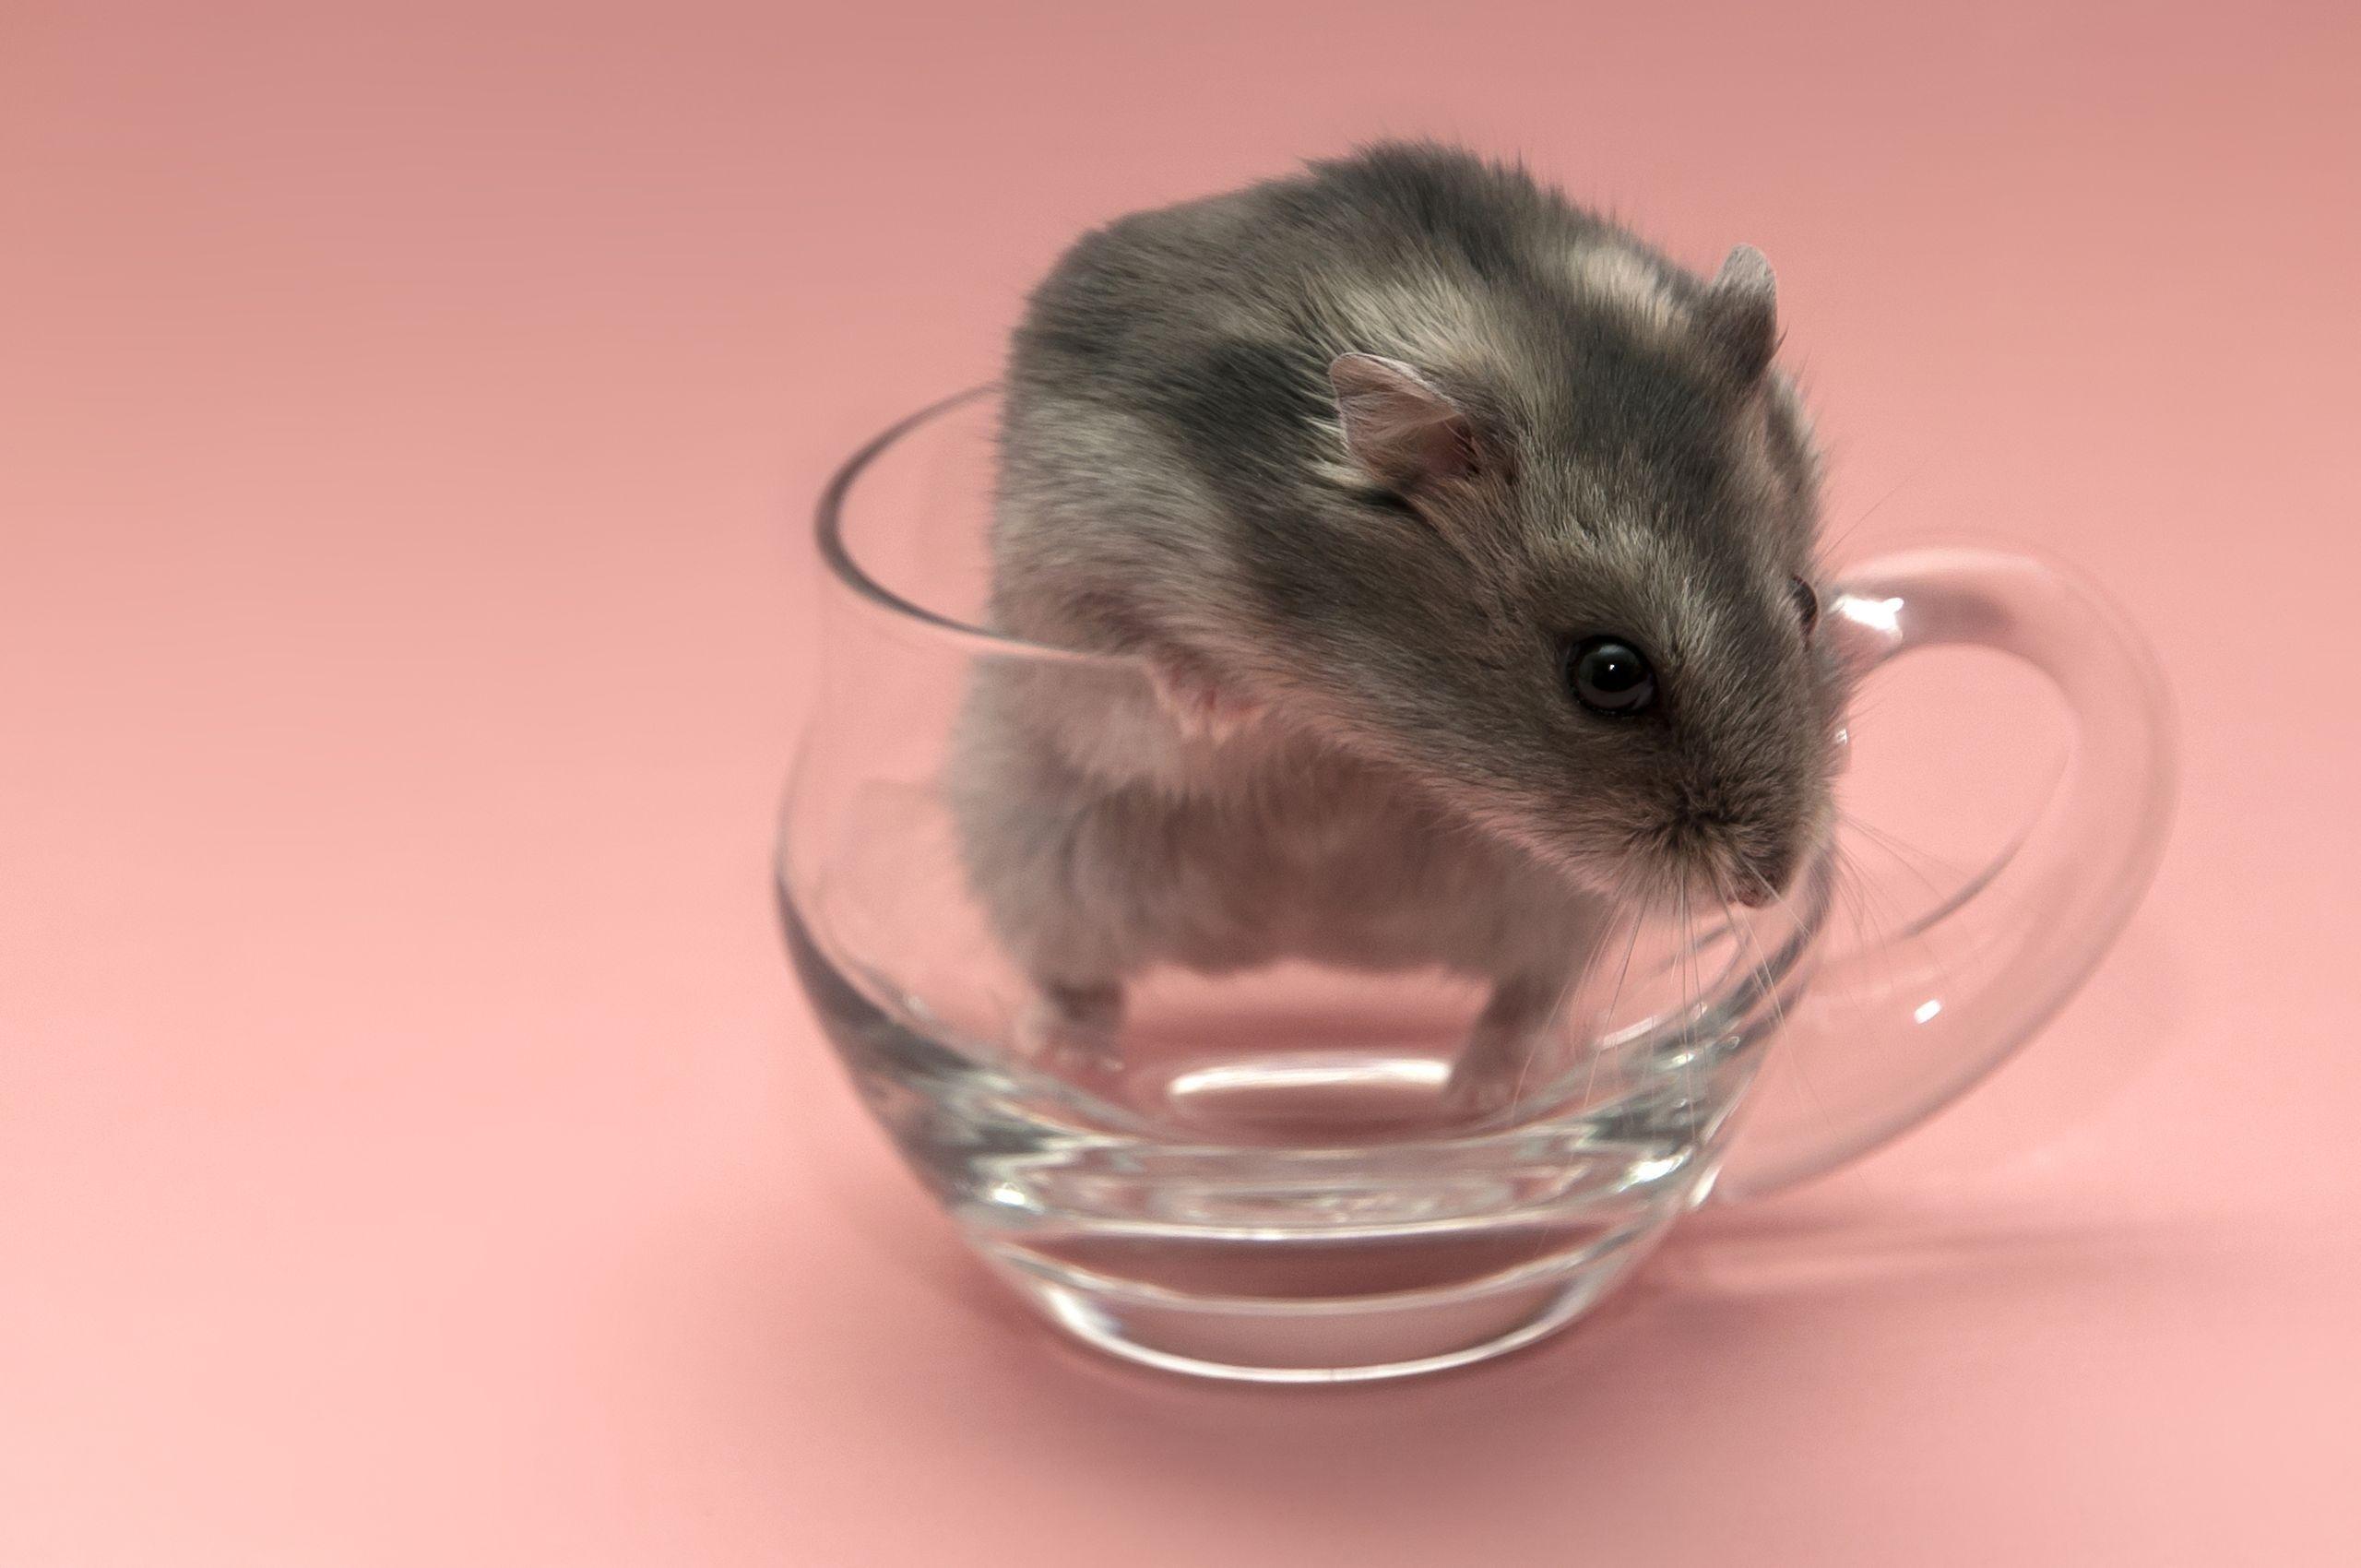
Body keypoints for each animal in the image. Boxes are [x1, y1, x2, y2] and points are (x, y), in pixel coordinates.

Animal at [949, 141, 1850, 1111]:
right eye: (1609, 673)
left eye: (1807, 601)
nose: (1767, 889)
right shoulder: (1061, 600)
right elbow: (1143, 686)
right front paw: (1215, 702)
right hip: (1035, 852)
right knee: (1077, 977)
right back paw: (1062, 1055)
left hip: (1555, 908)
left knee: (1527, 994)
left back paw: (1489, 1087)